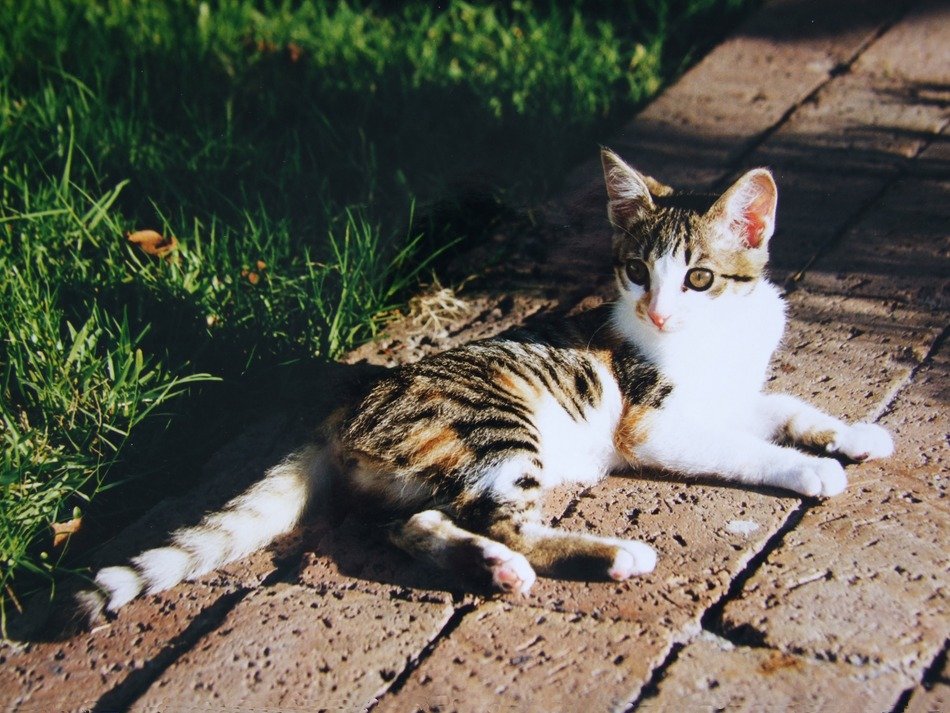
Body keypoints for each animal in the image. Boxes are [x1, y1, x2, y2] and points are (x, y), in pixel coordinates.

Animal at [78, 149, 896, 616]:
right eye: (636, 271)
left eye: (699, 278)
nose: (657, 310)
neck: (712, 341)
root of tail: (347, 408)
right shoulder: (654, 423)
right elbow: (742, 447)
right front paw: (811, 469)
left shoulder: (737, 390)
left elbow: (784, 403)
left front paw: (852, 433)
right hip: (498, 431)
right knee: (503, 519)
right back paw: (608, 555)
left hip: (438, 471)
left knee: (414, 523)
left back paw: (493, 569)